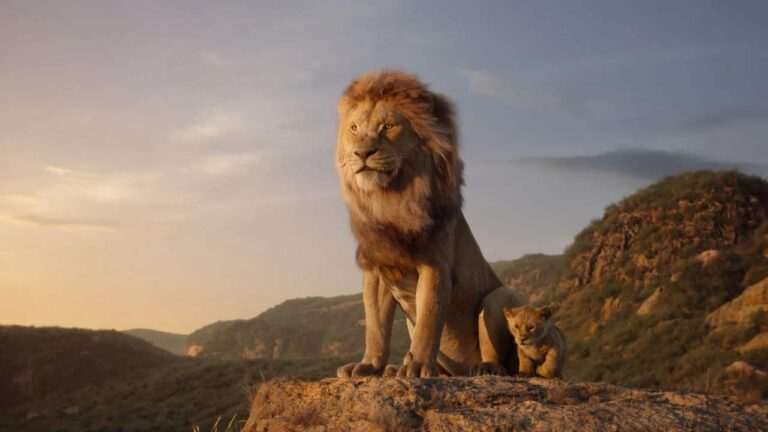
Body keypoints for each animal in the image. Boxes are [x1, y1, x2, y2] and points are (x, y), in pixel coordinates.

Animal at [335, 70, 522, 378]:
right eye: (354, 128)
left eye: (388, 126)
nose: (362, 153)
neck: (389, 199)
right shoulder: (377, 270)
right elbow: (375, 326)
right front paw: (369, 365)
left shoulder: (435, 266)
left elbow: (428, 320)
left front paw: (418, 365)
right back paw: (394, 369)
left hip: (499, 297)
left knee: (502, 359)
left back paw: (485, 369)